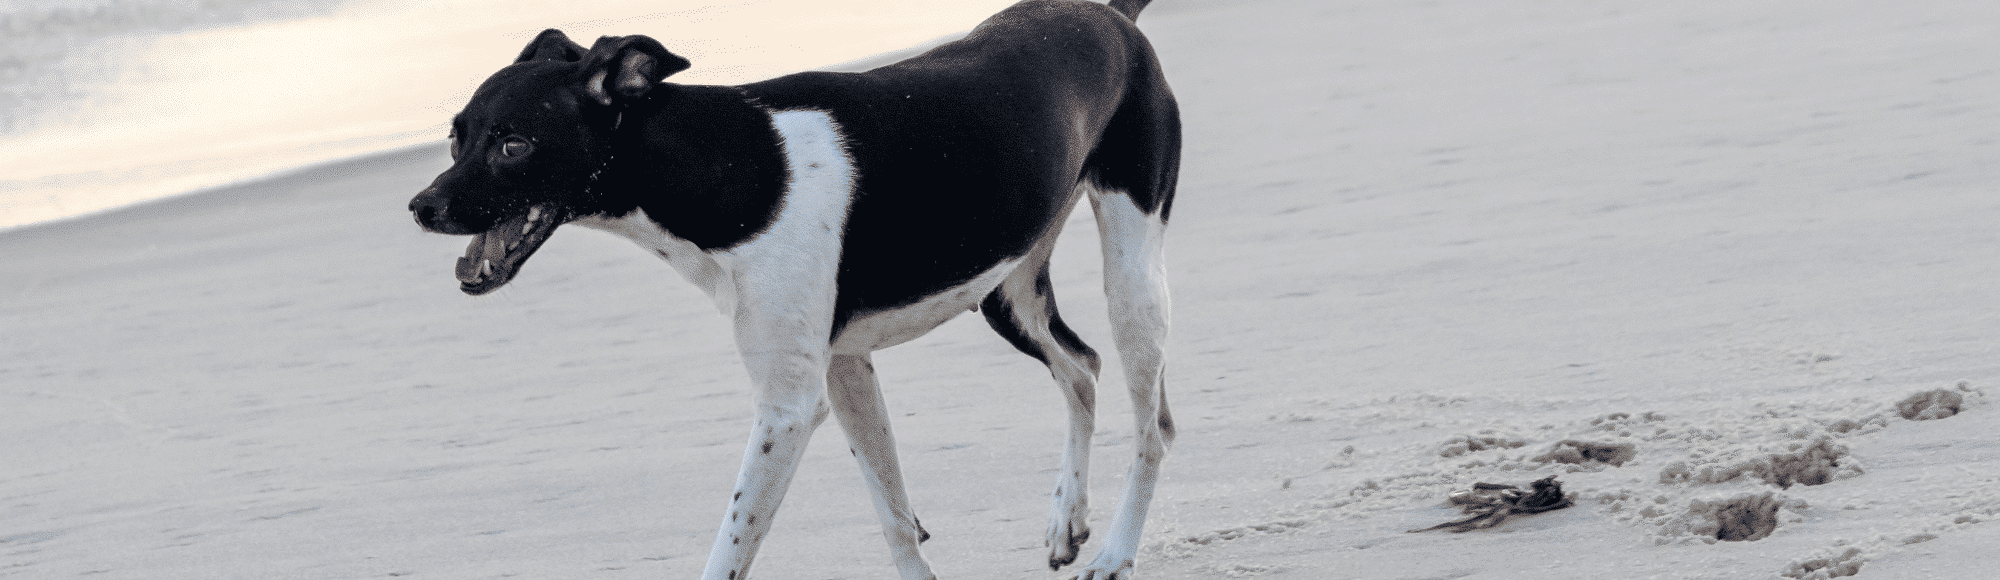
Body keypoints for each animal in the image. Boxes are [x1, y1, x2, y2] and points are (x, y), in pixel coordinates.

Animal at [412, 2, 1176, 576]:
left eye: (513, 145)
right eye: (455, 139)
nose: (420, 208)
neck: (726, 161)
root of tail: (1110, 16)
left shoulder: (787, 408)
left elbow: (730, 547)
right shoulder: (845, 369)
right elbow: (895, 520)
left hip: (1132, 279)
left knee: (1153, 428)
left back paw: (1114, 553)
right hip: (1008, 294)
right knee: (1082, 368)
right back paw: (1066, 518)